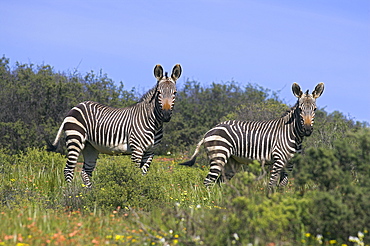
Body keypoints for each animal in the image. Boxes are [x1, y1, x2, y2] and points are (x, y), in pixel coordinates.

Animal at [49, 63, 182, 186]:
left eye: (175, 93)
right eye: (159, 93)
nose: (166, 115)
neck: (154, 123)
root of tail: (76, 107)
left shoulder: (150, 151)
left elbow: (142, 175)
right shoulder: (137, 149)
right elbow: (135, 175)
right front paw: (136, 193)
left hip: (90, 146)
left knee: (85, 172)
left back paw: (89, 193)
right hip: (75, 139)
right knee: (69, 169)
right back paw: (70, 193)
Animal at [179, 82, 324, 190]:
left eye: (315, 109)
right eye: (300, 109)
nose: (307, 130)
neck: (293, 135)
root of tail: (210, 131)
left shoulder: (289, 164)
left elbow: (282, 186)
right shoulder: (278, 161)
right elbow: (271, 185)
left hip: (232, 162)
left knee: (219, 182)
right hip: (218, 155)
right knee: (208, 181)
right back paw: (209, 202)